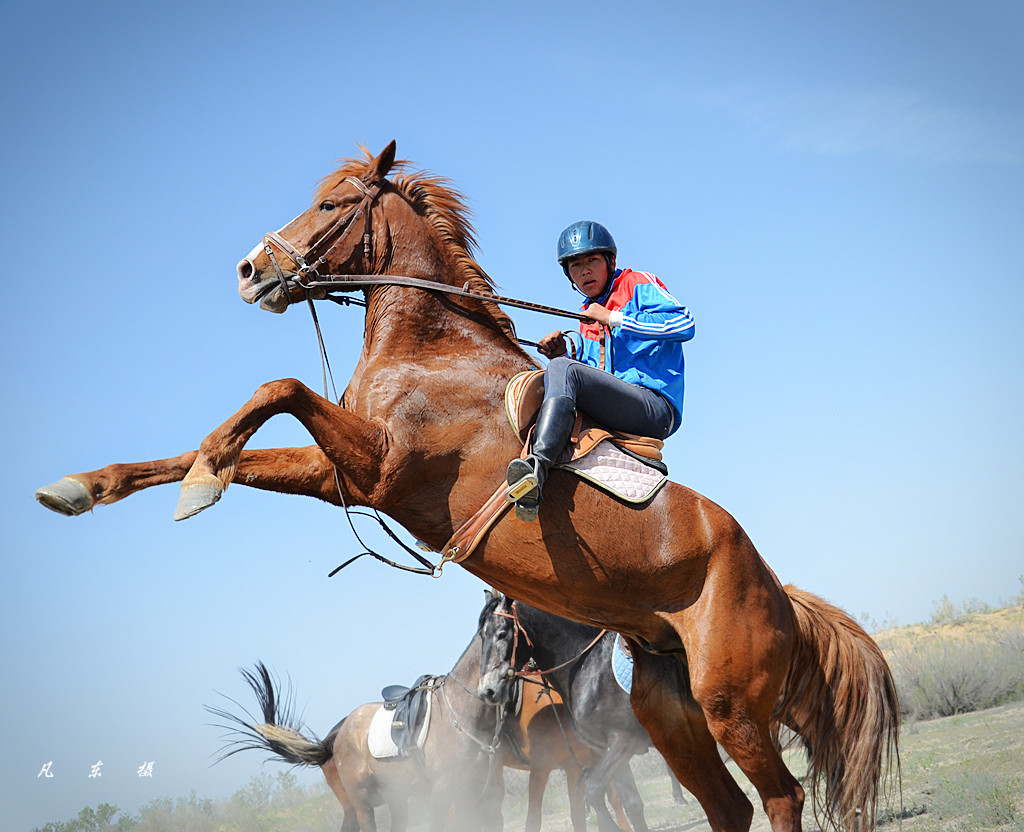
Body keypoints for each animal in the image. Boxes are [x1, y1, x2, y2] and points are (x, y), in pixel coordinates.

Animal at [36, 143, 897, 832]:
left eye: (331, 205)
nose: (250, 270)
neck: (431, 346)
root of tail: (777, 586)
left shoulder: (378, 468)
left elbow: (276, 388)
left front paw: (199, 480)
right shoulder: (346, 478)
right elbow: (220, 444)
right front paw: (91, 486)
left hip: (731, 705)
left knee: (781, 797)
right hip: (667, 706)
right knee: (728, 807)